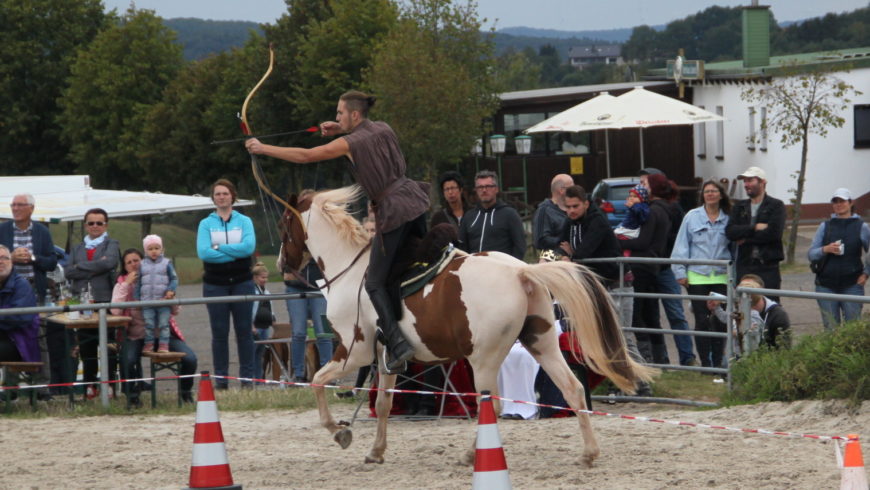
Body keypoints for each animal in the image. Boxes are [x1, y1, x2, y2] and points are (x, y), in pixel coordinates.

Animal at [282, 187, 656, 468]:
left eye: (286, 224)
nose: (285, 264)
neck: (352, 273)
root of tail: (522, 271)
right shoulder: (386, 360)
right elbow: (385, 404)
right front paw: (375, 451)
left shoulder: (355, 352)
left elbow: (317, 382)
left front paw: (339, 431)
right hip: (542, 344)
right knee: (573, 389)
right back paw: (589, 453)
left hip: (484, 360)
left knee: (492, 406)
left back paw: (471, 455)